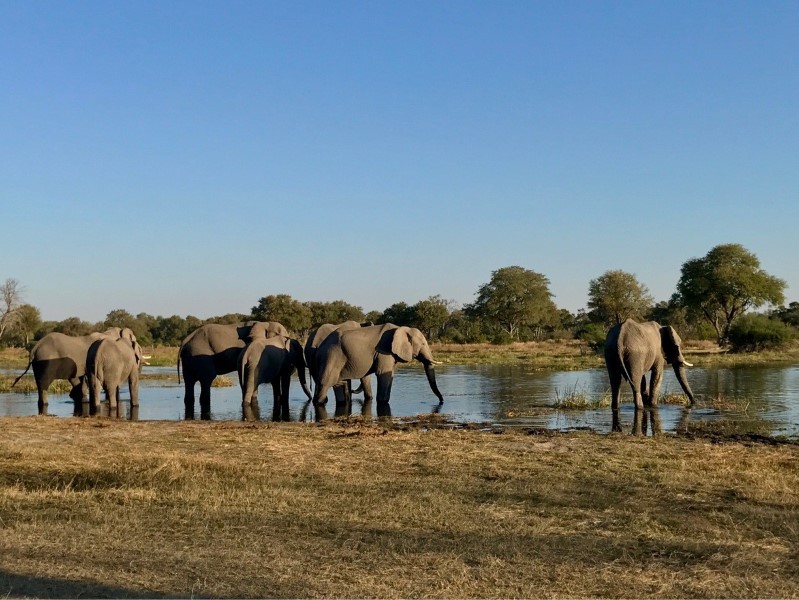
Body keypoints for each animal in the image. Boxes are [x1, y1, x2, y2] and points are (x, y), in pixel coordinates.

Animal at [310, 326, 444, 420]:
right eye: (423, 344)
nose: (442, 401)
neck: (403, 328)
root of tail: (319, 348)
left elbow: (390, 376)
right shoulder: (384, 351)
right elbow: (383, 374)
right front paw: (382, 402)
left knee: (339, 385)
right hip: (331, 356)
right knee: (325, 383)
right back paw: (319, 403)